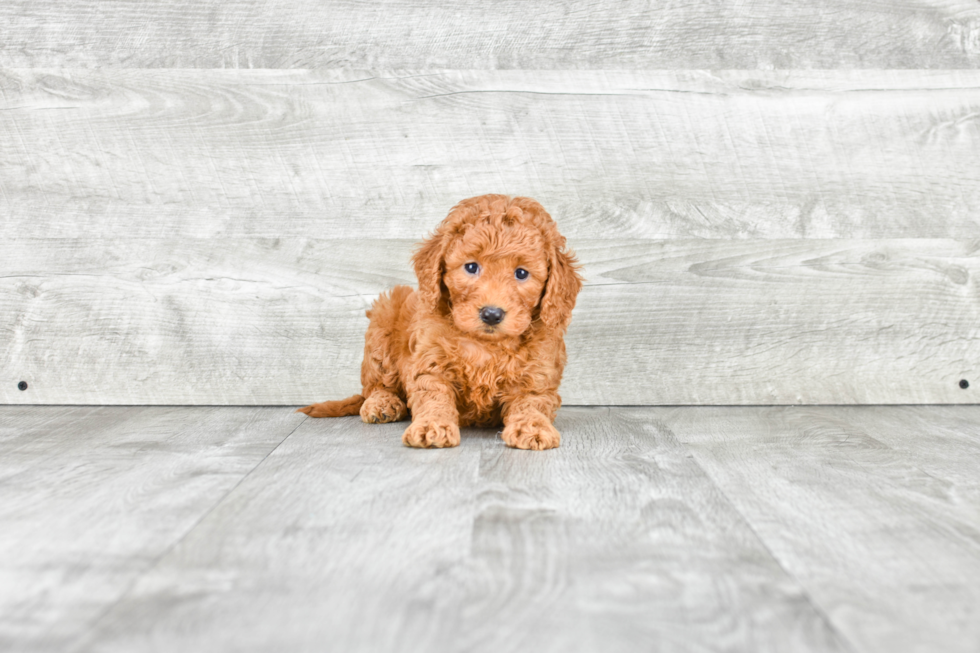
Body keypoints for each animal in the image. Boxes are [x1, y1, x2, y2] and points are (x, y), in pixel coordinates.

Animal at [298, 194, 580, 448]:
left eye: (521, 273)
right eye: (471, 267)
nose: (491, 314)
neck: (486, 345)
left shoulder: (537, 375)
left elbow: (532, 402)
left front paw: (533, 428)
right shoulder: (430, 365)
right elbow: (434, 398)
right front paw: (432, 426)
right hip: (384, 318)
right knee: (375, 385)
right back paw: (382, 404)